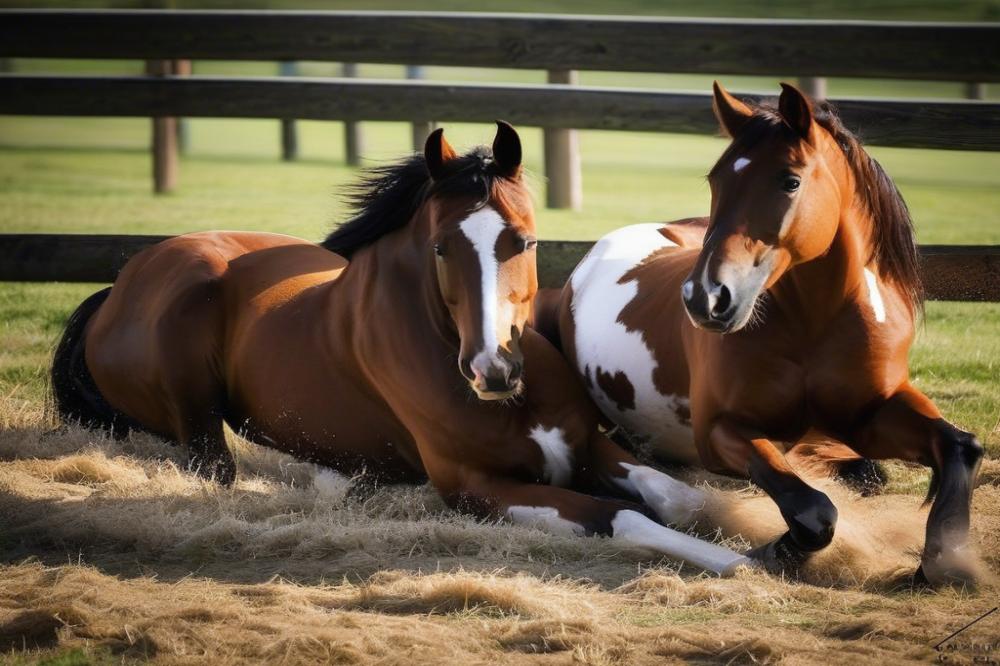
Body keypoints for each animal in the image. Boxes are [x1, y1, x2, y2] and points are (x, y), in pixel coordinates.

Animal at [47, 123, 752, 576]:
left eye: (524, 241)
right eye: (441, 246)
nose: (493, 370)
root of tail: (121, 285)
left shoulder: (587, 446)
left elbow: (680, 498)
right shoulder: (478, 488)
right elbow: (624, 518)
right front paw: (738, 561)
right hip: (194, 406)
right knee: (213, 465)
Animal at [544, 84, 980, 588]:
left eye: (789, 181)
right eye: (715, 180)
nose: (705, 297)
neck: (815, 324)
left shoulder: (870, 415)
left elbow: (961, 445)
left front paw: (946, 560)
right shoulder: (720, 432)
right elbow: (812, 507)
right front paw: (778, 551)